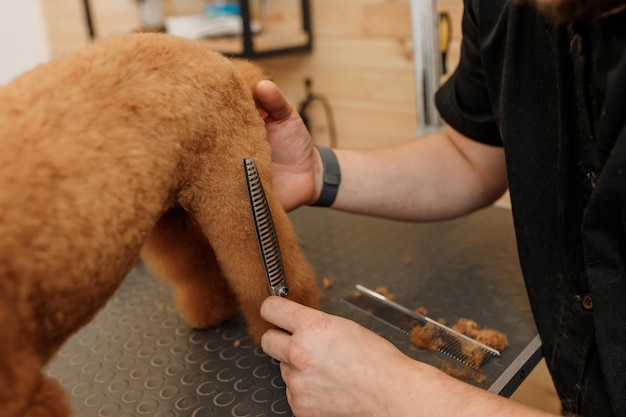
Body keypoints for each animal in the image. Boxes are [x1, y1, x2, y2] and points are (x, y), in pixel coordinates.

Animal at [0, 33, 320, 416]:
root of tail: (220, 60)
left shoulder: (24, 390)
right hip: (170, 210)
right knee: (198, 266)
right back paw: (210, 312)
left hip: (232, 190)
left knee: (268, 272)